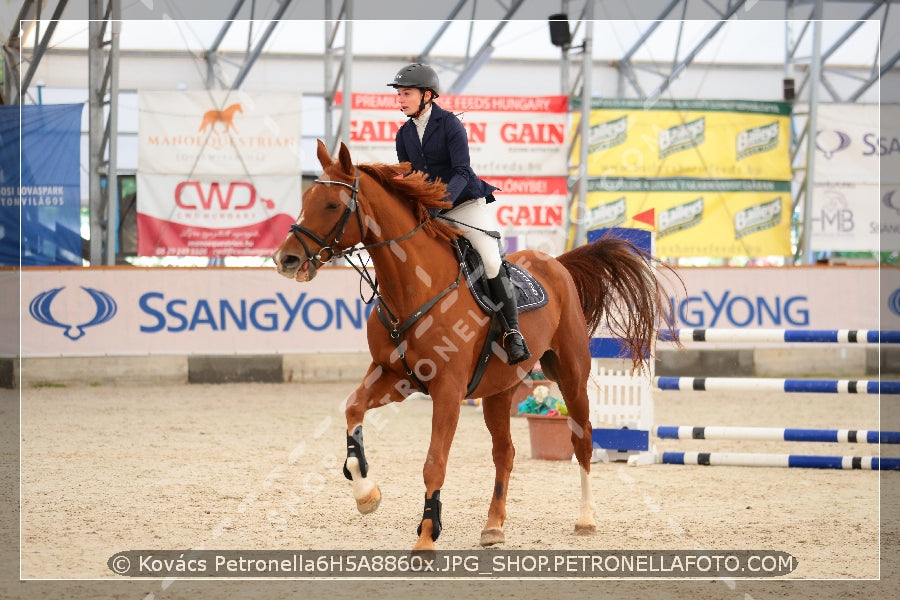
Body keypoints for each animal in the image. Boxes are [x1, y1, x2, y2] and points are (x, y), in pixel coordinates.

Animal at [274, 139, 676, 548]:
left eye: (332, 205)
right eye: (306, 198)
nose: (285, 258)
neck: (414, 287)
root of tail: (556, 262)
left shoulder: (448, 389)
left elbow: (434, 463)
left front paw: (426, 538)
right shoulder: (393, 376)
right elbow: (353, 410)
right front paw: (366, 494)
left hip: (571, 376)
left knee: (583, 440)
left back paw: (586, 517)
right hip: (499, 389)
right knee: (505, 452)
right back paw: (493, 525)